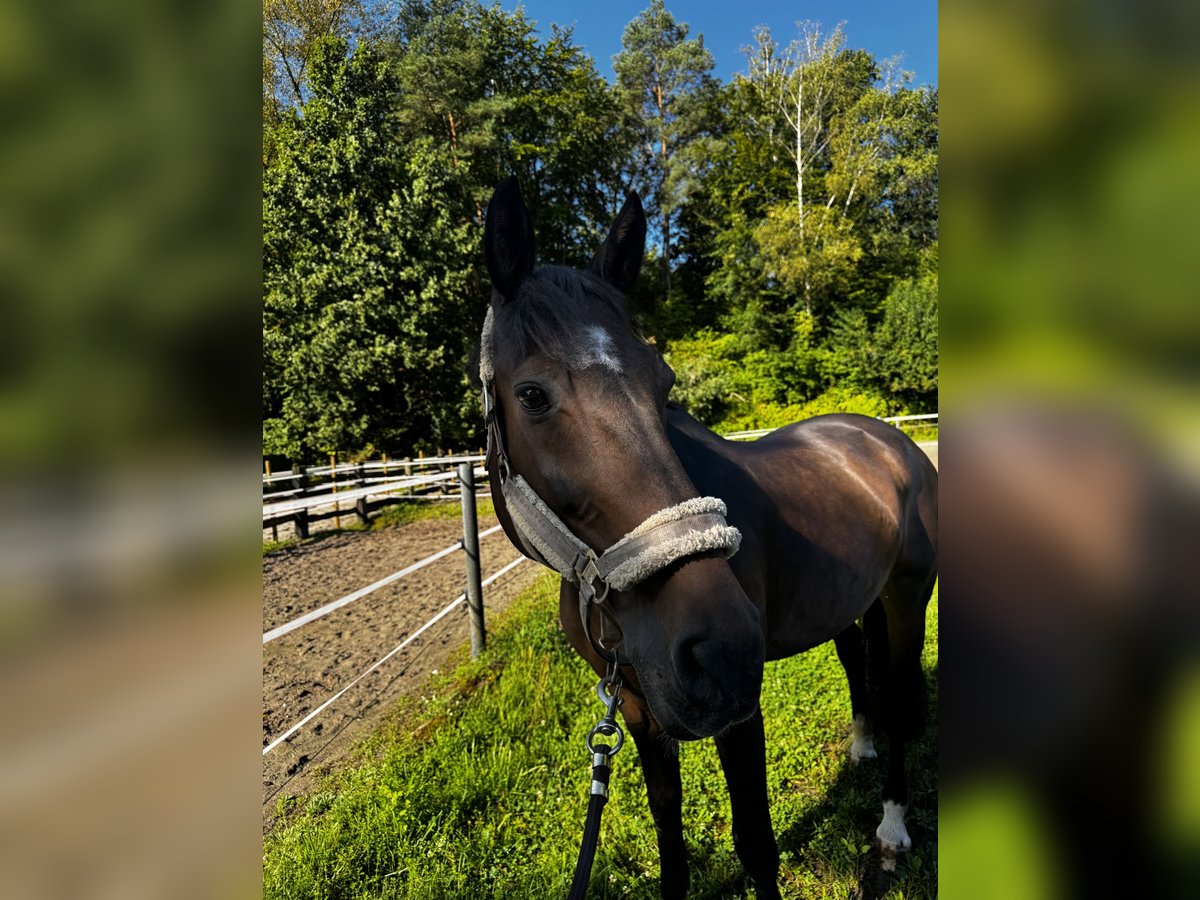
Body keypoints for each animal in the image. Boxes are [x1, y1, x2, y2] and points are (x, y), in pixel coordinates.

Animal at [477, 177, 936, 900]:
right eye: (532, 395)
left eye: (663, 383)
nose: (720, 649)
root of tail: (892, 441)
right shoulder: (638, 708)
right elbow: (669, 827)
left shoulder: (739, 715)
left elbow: (756, 844)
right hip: (854, 603)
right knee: (857, 664)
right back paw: (860, 747)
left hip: (908, 599)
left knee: (898, 694)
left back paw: (892, 827)